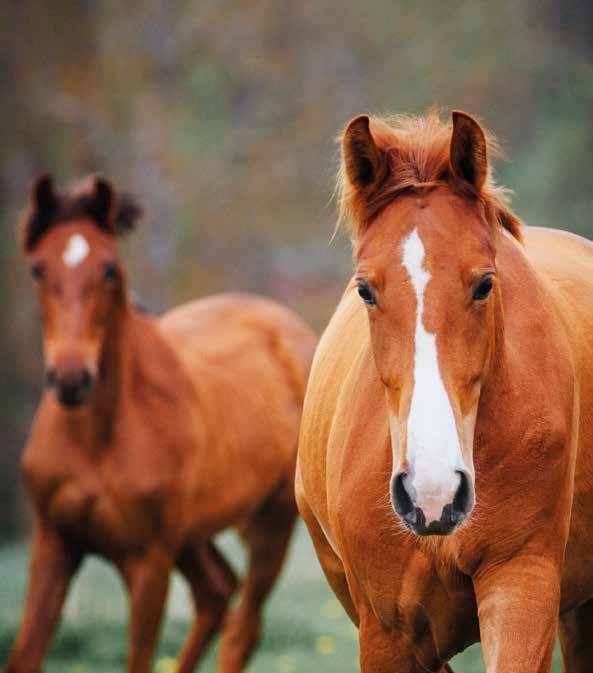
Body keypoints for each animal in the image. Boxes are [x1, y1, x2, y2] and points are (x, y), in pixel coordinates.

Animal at [6, 175, 316, 672]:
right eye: (37, 268)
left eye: (109, 269)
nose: (71, 378)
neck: (97, 437)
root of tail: (294, 330)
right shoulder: (54, 543)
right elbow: (26, 655)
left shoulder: (148, 562)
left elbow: (140, 658)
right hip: (190, 535)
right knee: (216, 592)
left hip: (272, 523)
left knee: (242, 629)